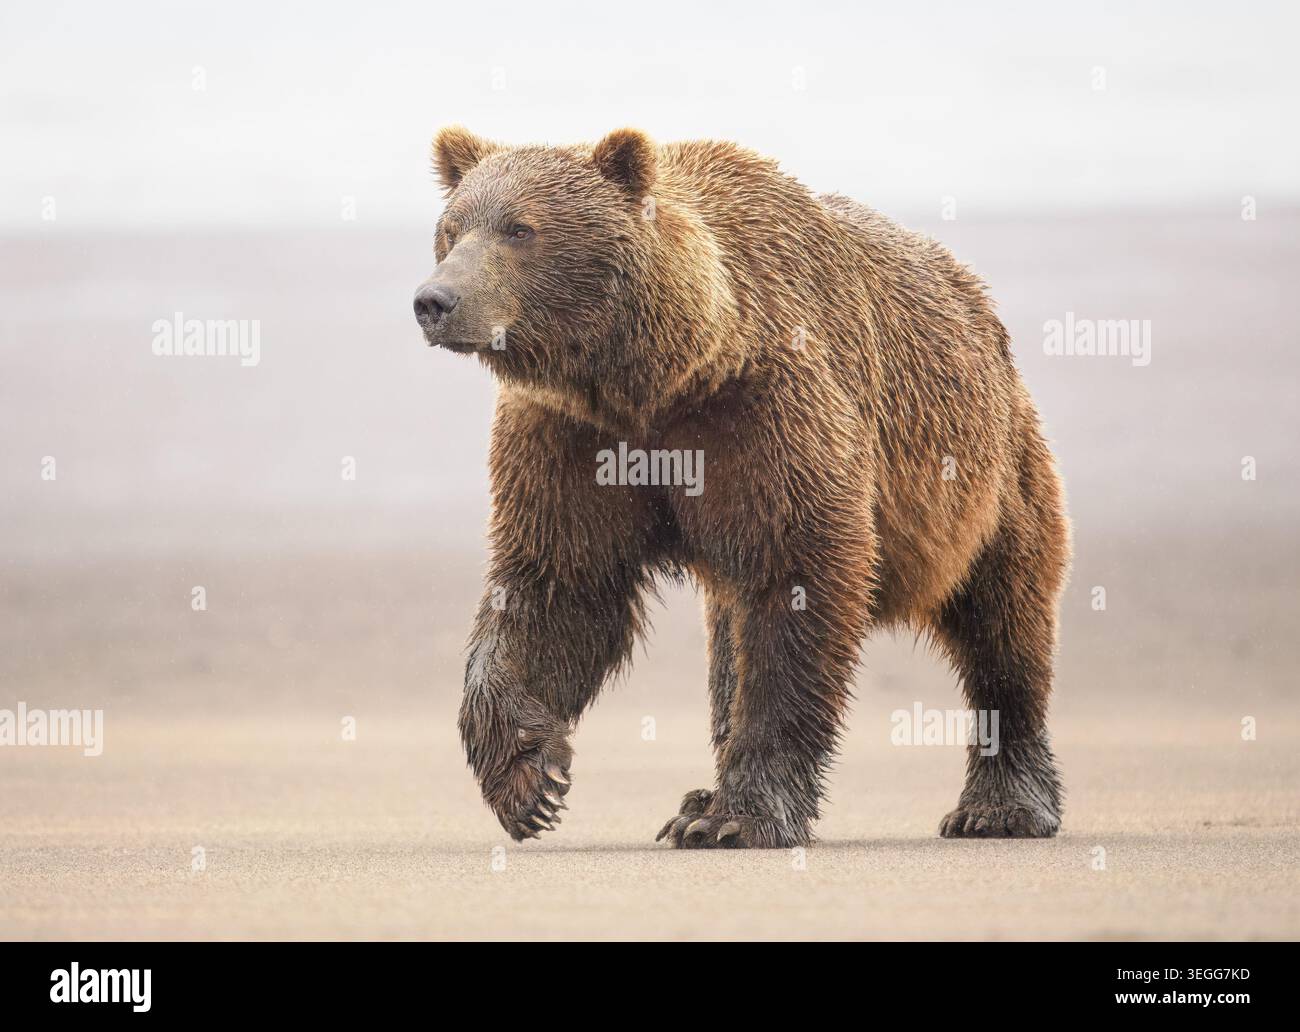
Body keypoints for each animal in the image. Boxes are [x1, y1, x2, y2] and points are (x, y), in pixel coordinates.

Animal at [414, 126, 1070, 848]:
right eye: (450, 229)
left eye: (520, 228)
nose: (435, 301)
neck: (660, 378)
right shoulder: (570, 434)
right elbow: (560, 584)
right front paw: (529, 779)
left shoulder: (765, 412)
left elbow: (796, 581)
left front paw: (743, 813)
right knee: (728, 642)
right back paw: (693, 799)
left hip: (991, 472)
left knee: (1003, 623)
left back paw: (1001, 805)